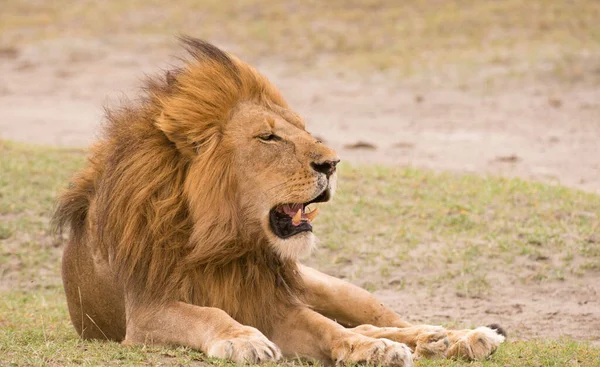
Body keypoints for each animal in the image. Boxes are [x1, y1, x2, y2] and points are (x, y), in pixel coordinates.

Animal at [55, 36, 506, 366]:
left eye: (303, 130)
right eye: (269, 137)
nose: (332, 163)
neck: (222, 241)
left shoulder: (272, 304)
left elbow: (325, 328)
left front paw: (372, 350)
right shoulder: (146, 311)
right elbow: (207, 313)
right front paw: (243, 340)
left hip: (329, 286)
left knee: (383, 320)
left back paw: (456, 337)